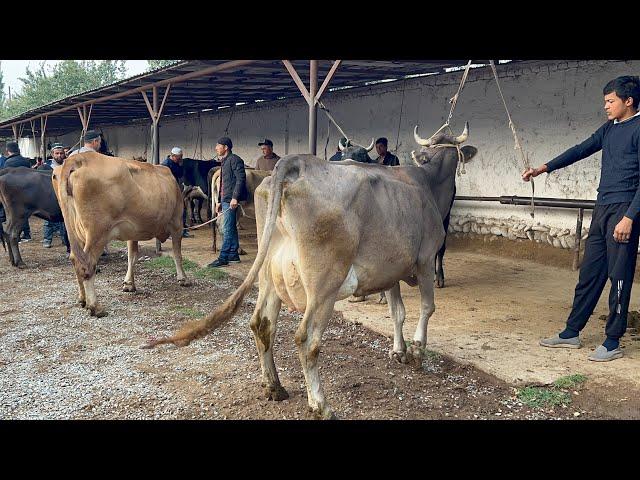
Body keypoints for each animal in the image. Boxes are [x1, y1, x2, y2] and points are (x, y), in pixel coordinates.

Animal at [52, 153, 189, 318]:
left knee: (75, 259)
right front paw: (183, 278)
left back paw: (82, 299)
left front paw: (129, 283)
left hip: (76, 231)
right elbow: (177, 254)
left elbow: (132, 256)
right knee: (86, 263)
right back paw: (95, 307)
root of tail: (79, 157)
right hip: (98, 232)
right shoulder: (177, 223)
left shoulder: (133, 230)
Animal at [144, 145, 460, 416]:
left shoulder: (391, 270)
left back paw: (275, 387)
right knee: (306, 339)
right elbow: (426, 308)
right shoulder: (425, 258)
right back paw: (320, 405)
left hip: (270, 275)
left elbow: (397, 312)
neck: (427, 183)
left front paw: (399, 350)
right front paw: (417, 351)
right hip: (324, 285)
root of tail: (297, 163)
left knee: (261, 324)